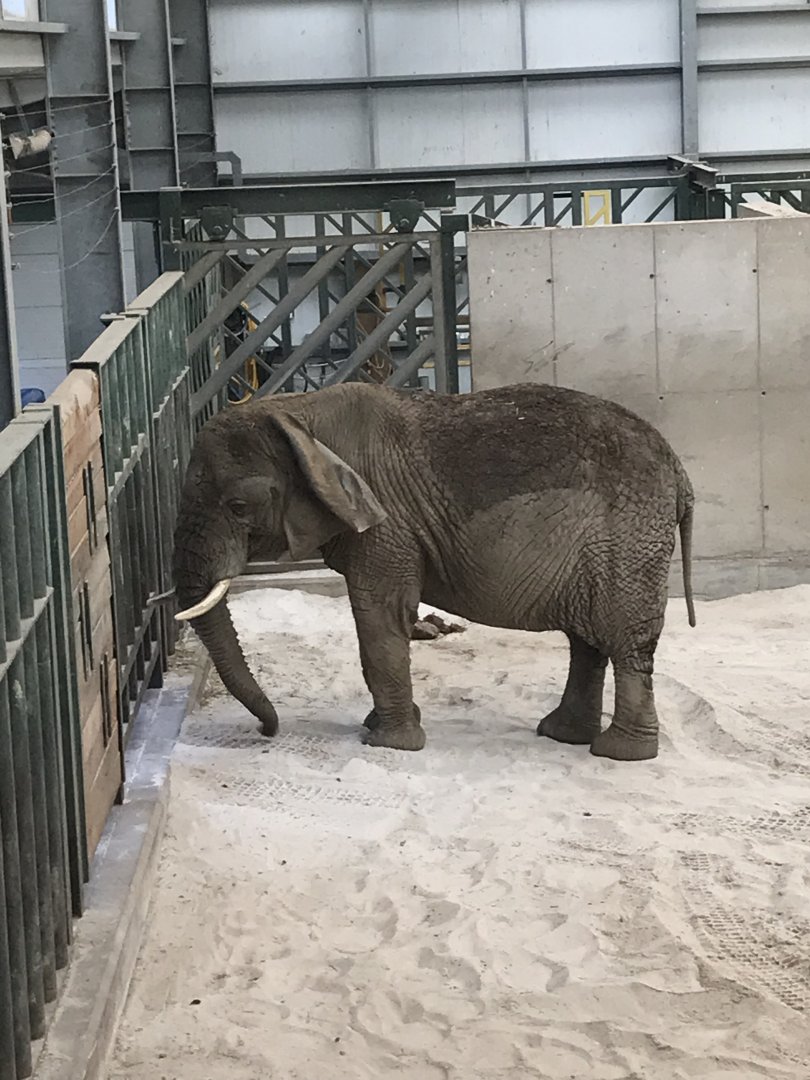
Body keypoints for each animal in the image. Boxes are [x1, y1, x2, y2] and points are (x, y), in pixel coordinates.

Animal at [172, 382, 695, 762]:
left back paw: (619, 753)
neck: (298, 413)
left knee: (624, 641)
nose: (267, 731)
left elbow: (380, 616)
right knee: (587, 643)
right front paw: (380, 727)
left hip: (628, 539)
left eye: (238, 507)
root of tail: (680, 471)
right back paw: (562, 734)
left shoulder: (388, 524)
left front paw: (384, 742)